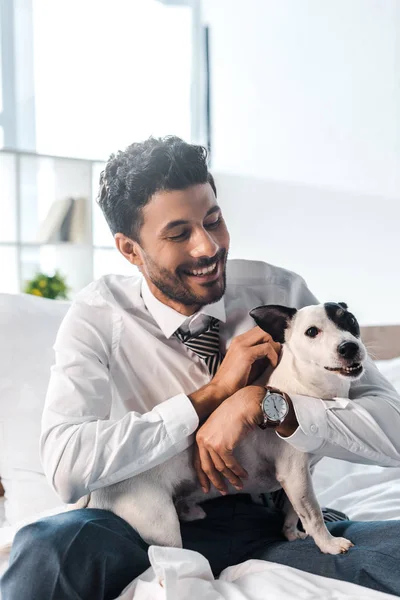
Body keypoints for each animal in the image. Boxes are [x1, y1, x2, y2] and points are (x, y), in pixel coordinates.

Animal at [83, 302, 366, 556]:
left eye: (351, 320)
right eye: (312, 332)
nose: (349, 346)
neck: (308, 387)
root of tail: (99, 486)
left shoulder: (301, 477)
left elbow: (292, 510)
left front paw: (291, 533)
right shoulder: (295, 473)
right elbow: (313, 514)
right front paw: (329, 545)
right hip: (161, 526)